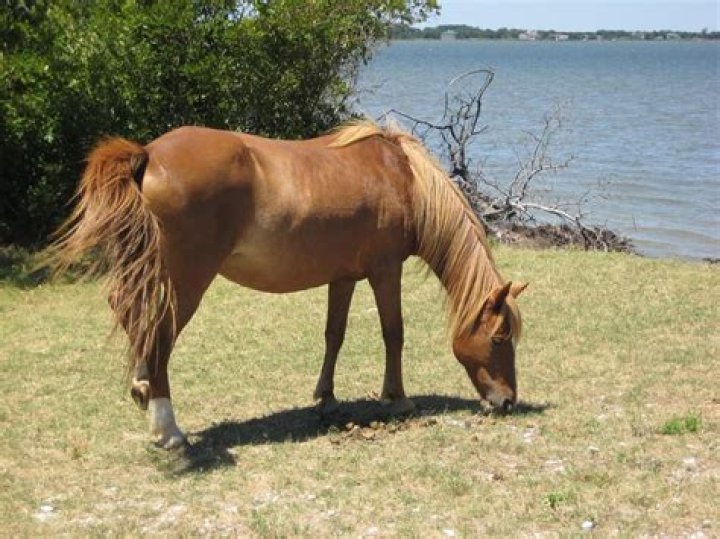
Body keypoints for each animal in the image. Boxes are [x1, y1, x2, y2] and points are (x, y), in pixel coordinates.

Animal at [49, 120, 527, 449]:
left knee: (130, 312)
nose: (507, 402)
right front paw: (398, 398)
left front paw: (327, 397)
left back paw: (142, 389)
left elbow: (334, 334)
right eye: (499, 338)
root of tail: (146, 154)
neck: (403, 178)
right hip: (187, 283)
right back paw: (168, 428)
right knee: (160, 335)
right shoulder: (385, 271)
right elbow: (394, 333)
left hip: (144, 270)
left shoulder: (344, 277)